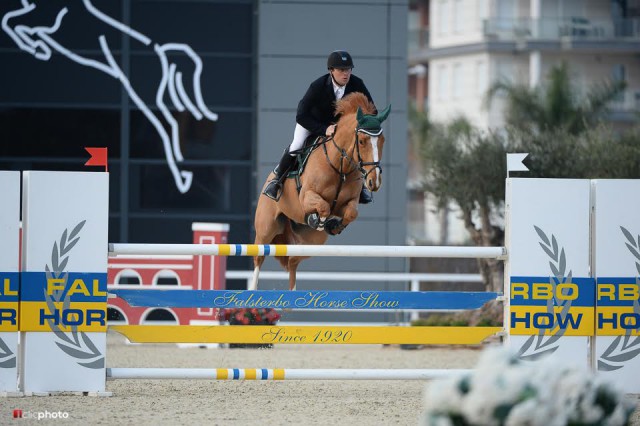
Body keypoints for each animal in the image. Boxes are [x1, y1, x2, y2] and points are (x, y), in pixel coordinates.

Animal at [251, 91, 390, 292]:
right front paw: (317, 220)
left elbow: (351, 213)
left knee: (293, 261)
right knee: (259, 256)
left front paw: (334, 225)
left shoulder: (347, 203)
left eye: (382, 140)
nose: (374, 182)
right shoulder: (307, 197)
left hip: (313, 242)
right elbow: (323, 206)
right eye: (362, 141)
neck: (341, 167)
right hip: (266, 228)